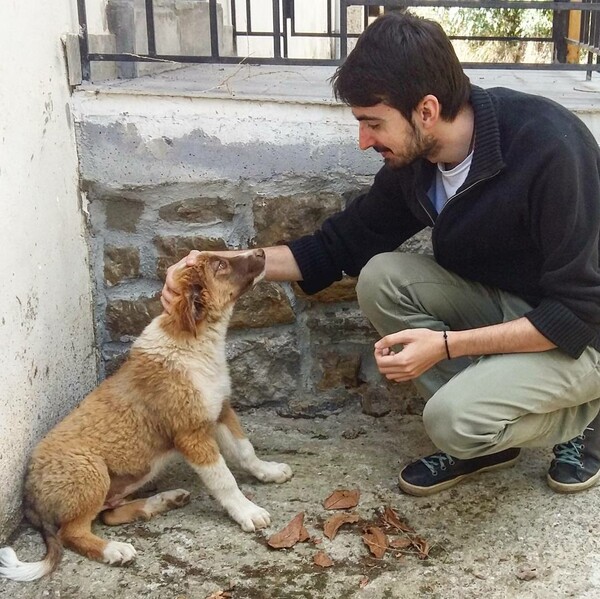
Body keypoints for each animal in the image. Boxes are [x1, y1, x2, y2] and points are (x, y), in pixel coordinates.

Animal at [0, 248, 292, 580]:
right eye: (220, 265)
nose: (262, 251)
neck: (196, 342)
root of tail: (29, 501)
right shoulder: (191, 434)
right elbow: (224, 479)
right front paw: (247, 512)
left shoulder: (220, 411)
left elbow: (245, 451)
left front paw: (268, 471)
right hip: (91, 471)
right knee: (72, 532)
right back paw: (114, 550)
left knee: (109, 515)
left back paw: (162, 501)